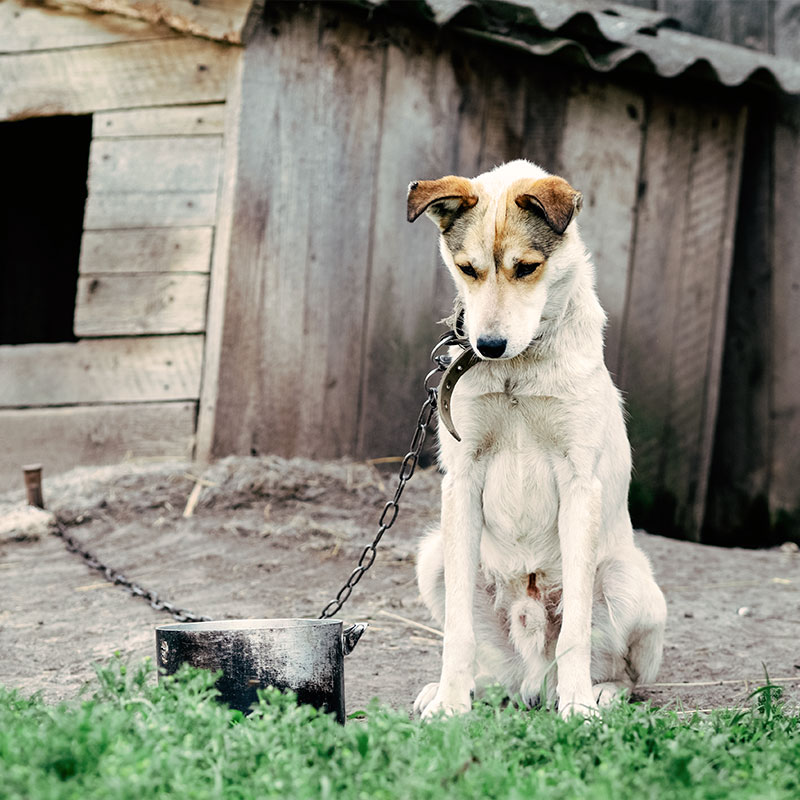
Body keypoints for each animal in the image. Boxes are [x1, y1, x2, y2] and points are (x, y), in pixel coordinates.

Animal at [406, 158, 668, 720]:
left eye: (526, 268)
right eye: (467, 269)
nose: (488, 345)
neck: (517, 372)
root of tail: (532, 680)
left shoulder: (579, 483)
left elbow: (575, 633)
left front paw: (579, 707)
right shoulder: (461, 480)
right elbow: (456, 631)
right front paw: (450, 703)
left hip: (627, 579)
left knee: (624, 673)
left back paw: (595, 693)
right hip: (434, 555)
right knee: (492, 666)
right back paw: (463, 689)